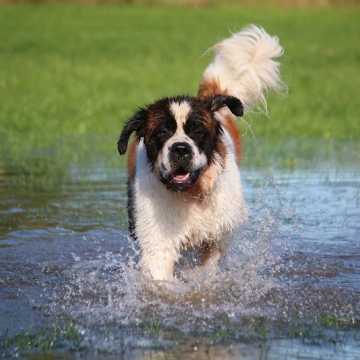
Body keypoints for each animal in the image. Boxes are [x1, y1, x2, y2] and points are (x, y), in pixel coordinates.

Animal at [116, 26, 282, 284]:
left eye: (197, 130)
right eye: (162, 132)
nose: (180, 149)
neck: (192, 194)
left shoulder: (216, 237)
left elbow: (208, 268)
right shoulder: (157, 240)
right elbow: (159, 272)